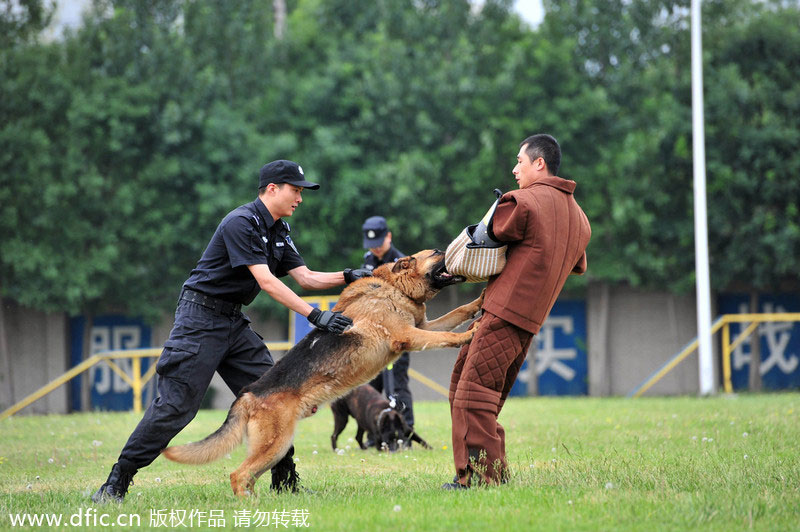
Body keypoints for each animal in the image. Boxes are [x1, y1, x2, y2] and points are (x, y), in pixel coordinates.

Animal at [162, 249, 482, 494]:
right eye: (438, 253)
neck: (393, 287)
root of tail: (248, 394)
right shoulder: (409, 336)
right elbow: (448, 335)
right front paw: (468, 335)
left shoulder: (423, 327)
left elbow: (458, 313)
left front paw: (478, 304)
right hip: (274, 445)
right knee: (238, 475)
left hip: (275, 447)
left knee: (249, 476)